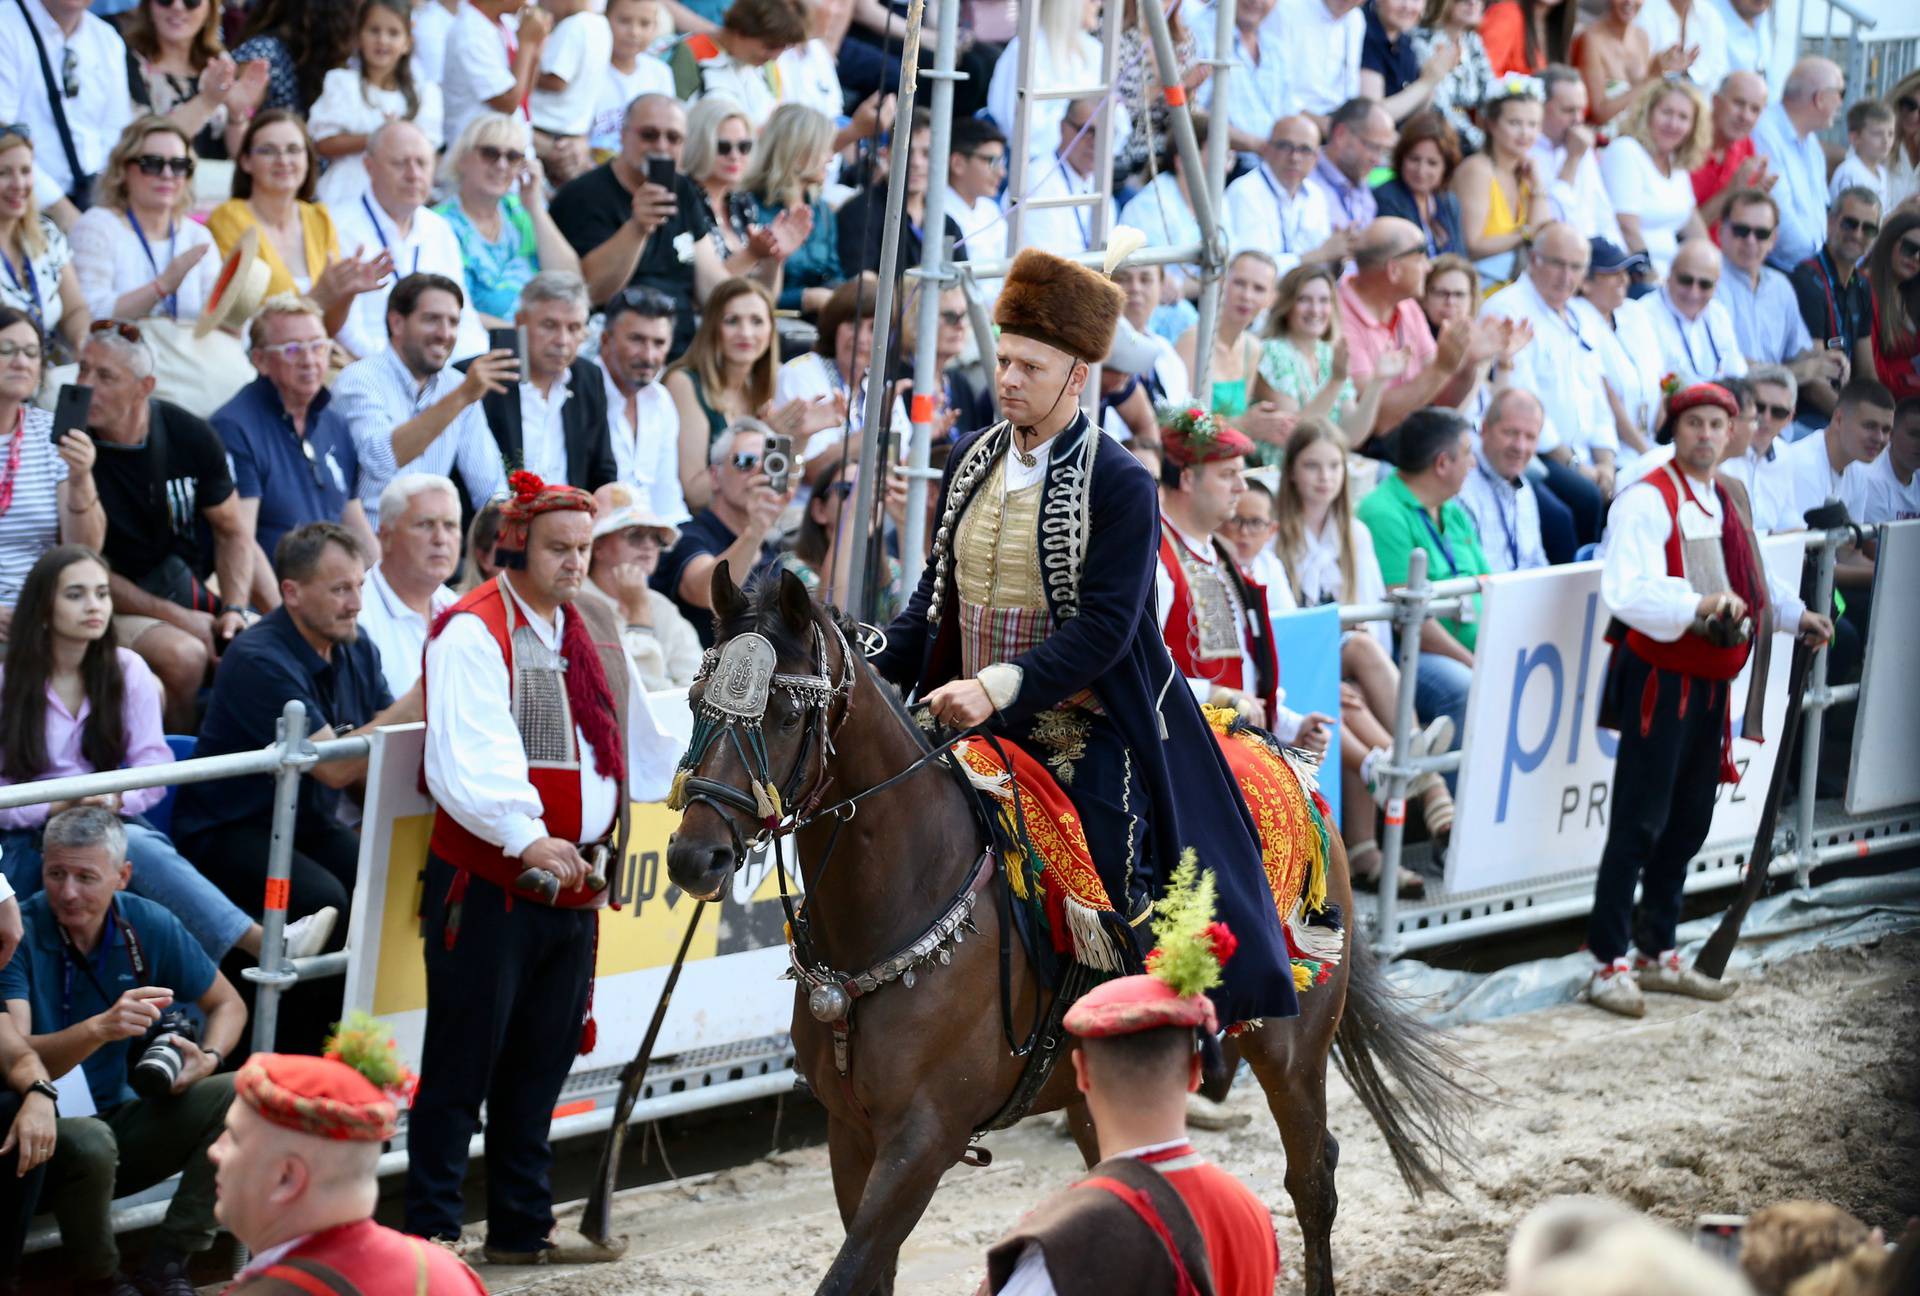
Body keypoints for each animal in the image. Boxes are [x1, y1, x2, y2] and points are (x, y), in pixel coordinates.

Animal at [664, 572, 1466, 1296]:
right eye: (698, 705)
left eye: (785, 717)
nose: (693, 858)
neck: (906, 899)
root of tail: (1277, 751)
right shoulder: (850, 1133)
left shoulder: (923, 1140)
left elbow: (848, 1274)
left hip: (1290, 1046)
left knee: (1312, 1179)